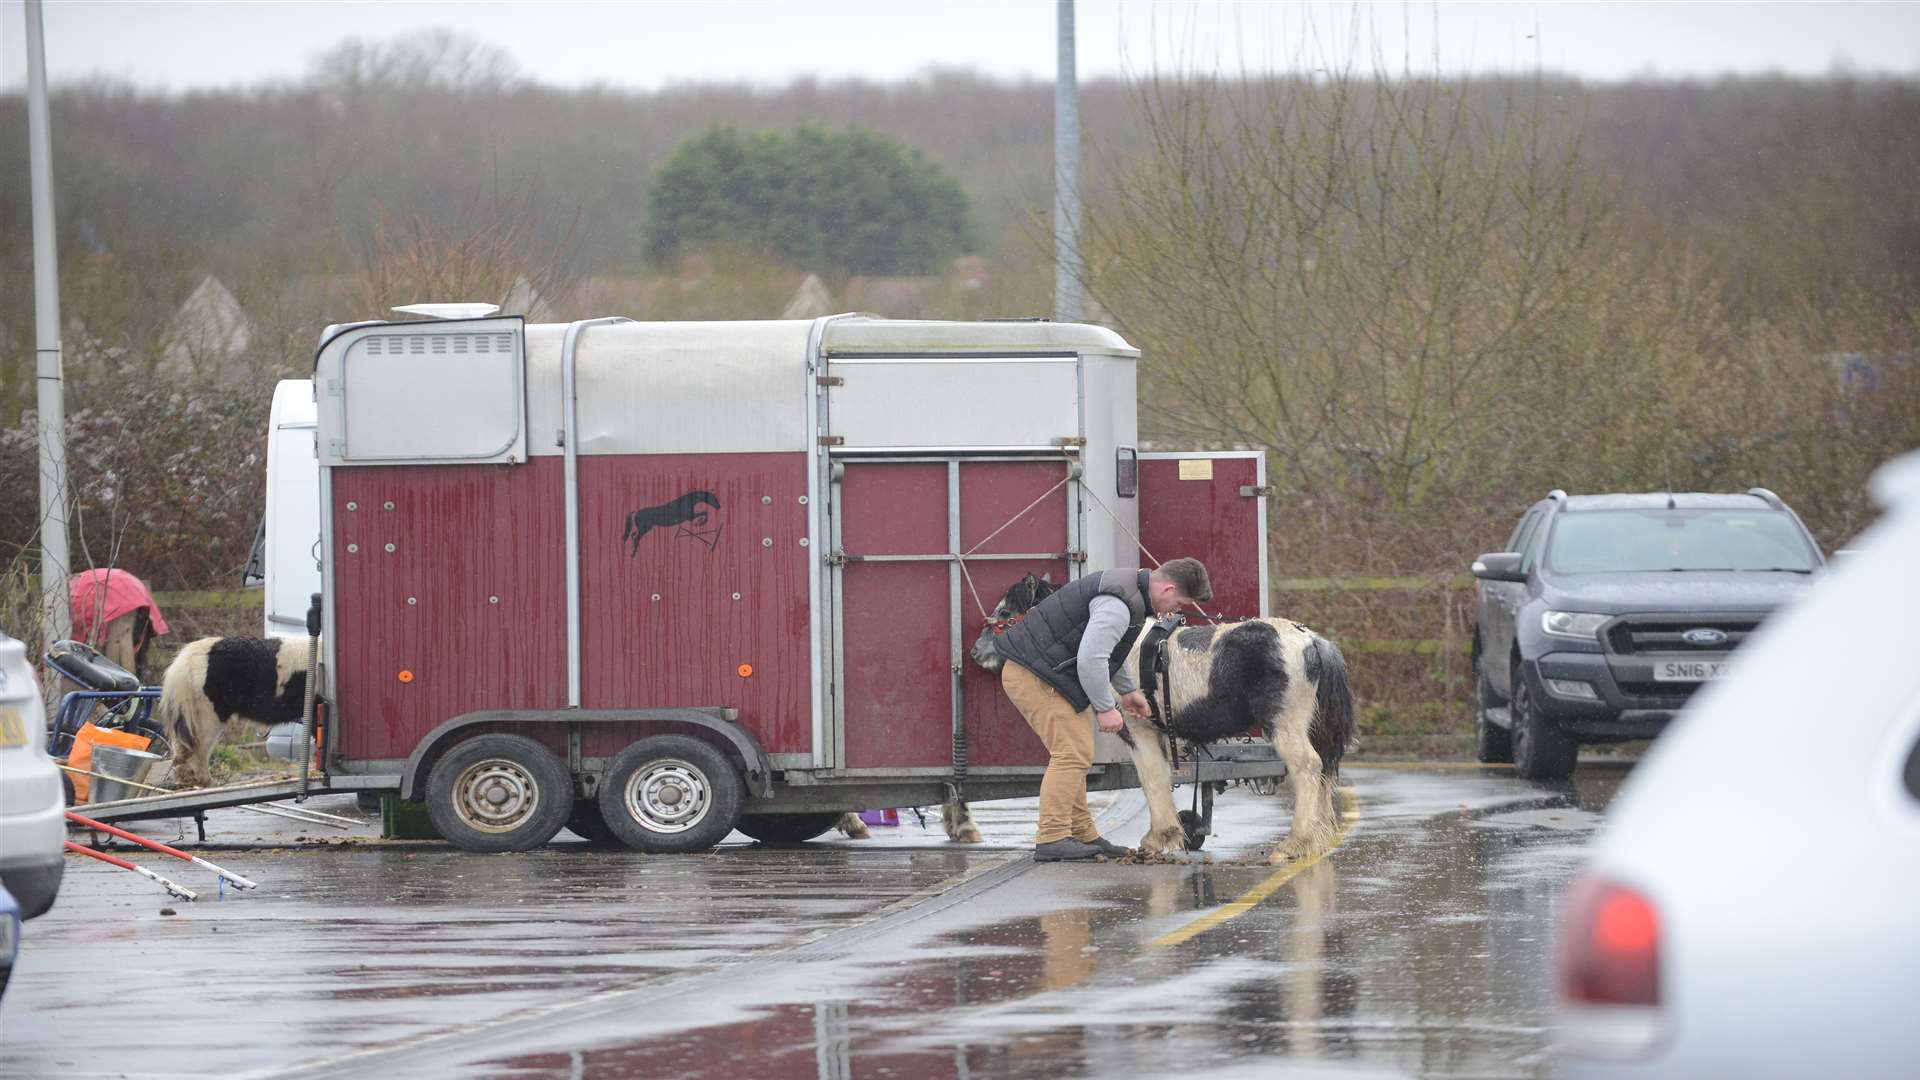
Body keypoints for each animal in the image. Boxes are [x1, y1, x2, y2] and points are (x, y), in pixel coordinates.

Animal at [967, 572, 1359, 857]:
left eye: (1005, 612)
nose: (975, 652)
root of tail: (1311, 642)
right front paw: (1173, 833)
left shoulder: (1138, 731)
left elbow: (1152, 778)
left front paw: (1158, 839)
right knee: (1323, 771)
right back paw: (1317, 838)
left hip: (1284, 726)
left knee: (1307, 768)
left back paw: (1295, 843)